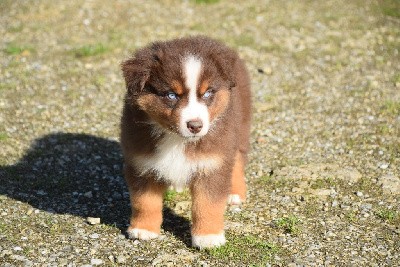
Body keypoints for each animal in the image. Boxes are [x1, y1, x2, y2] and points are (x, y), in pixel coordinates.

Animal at [119, 35, 250, 249]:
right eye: (171, 95)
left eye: (207, 93)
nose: (195, 125)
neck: (177, 140)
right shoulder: (142, 163)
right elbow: (144, 202)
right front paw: (143, 229)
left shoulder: (212, 163)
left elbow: (208, 204)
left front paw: (208, 236)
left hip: (240, 129)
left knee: (237, 161)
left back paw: (235, 193)